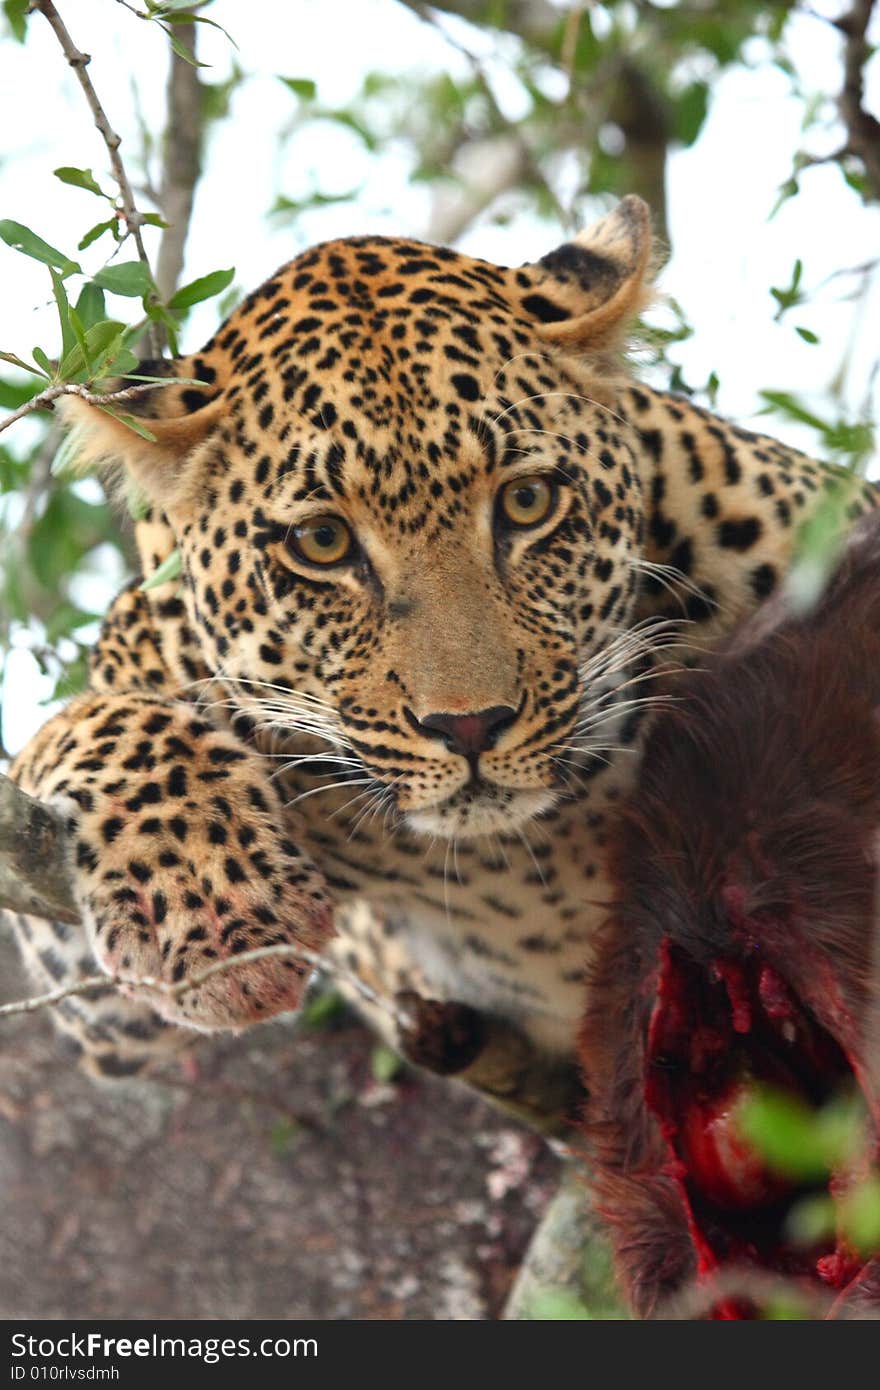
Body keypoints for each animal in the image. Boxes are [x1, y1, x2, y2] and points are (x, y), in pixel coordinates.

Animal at [5, 195, 873, 1128]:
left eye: (527, 501)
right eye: (323, 542)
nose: (471, 726)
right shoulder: (99, 1001)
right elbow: (90, 724)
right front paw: (208, 904)